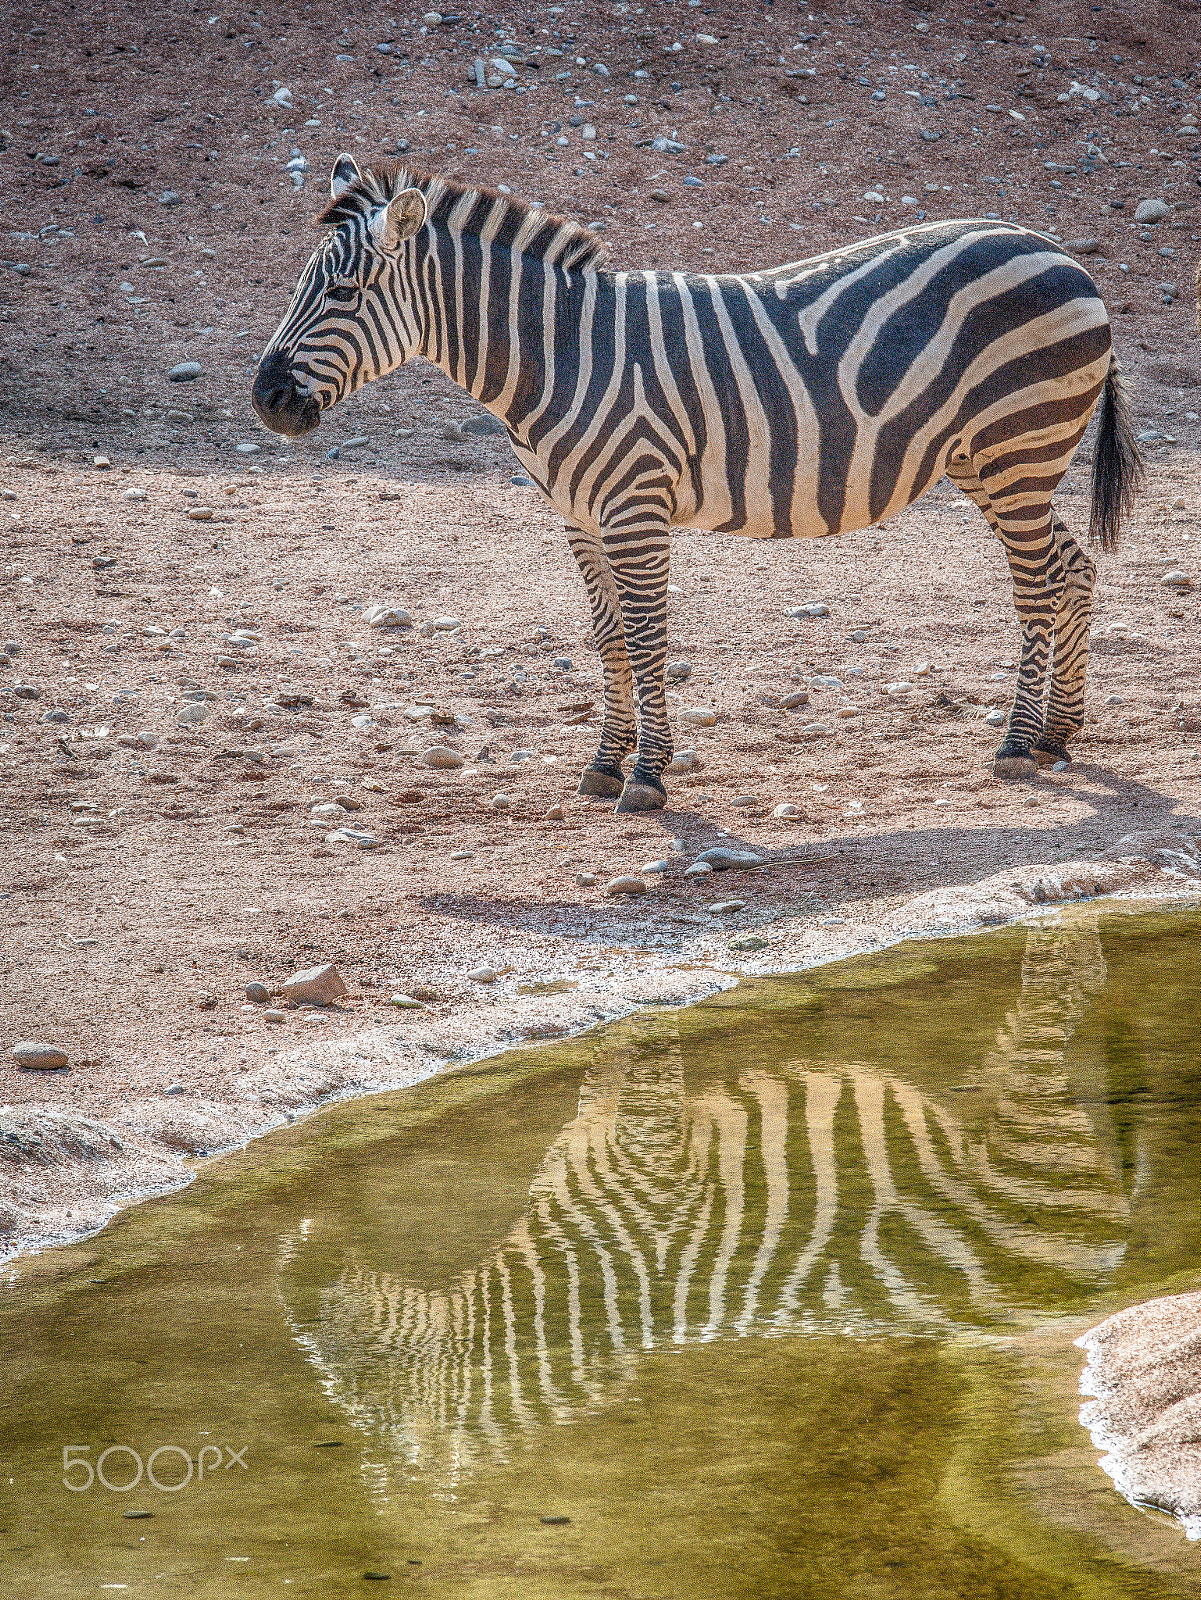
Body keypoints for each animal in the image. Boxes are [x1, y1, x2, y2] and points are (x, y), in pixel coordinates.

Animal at [252, 156, 1144, 813]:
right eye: (298, 288)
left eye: (342, 293)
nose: (265, 401)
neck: (559, 355)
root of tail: (1057, 252)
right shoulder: (576, 516)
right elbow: (609, 638)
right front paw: (604, 765)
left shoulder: (634, 506)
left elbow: (648, 638)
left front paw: (647, 776)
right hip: (988, 461)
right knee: (1071, 568)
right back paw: (1059, 733)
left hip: (1015, 448)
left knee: (1036, 585)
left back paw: (1016, 743)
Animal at [278, 919, 1132, 1487]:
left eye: (350, 1378)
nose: (289, 1256)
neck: (565, 1279)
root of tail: (1092, 1275)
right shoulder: (599, 1122)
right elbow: (611, 1055)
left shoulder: (651, 1145)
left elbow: (647, 1049)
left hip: (1029, 1141)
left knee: (1048, 1019)